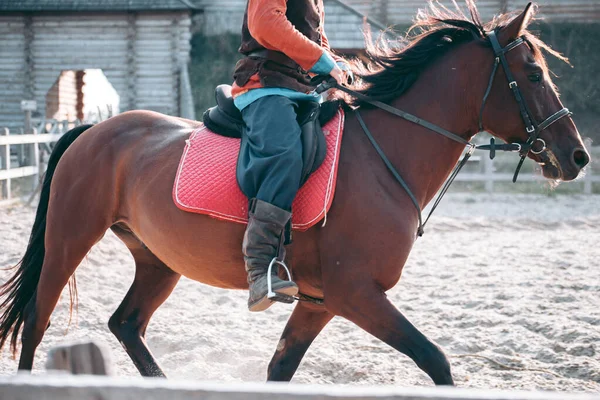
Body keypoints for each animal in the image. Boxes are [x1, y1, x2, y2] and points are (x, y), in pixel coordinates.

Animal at [0, 1, 592, 386]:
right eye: (533, 74)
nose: (578, 157)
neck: (385, 158)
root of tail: (94, 130)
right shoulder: (358, 296)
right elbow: (436, 361)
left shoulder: (320, 302)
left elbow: (280, 368)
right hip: (69, 241)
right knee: (36, 324)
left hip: (157, 260)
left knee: (125, 323)